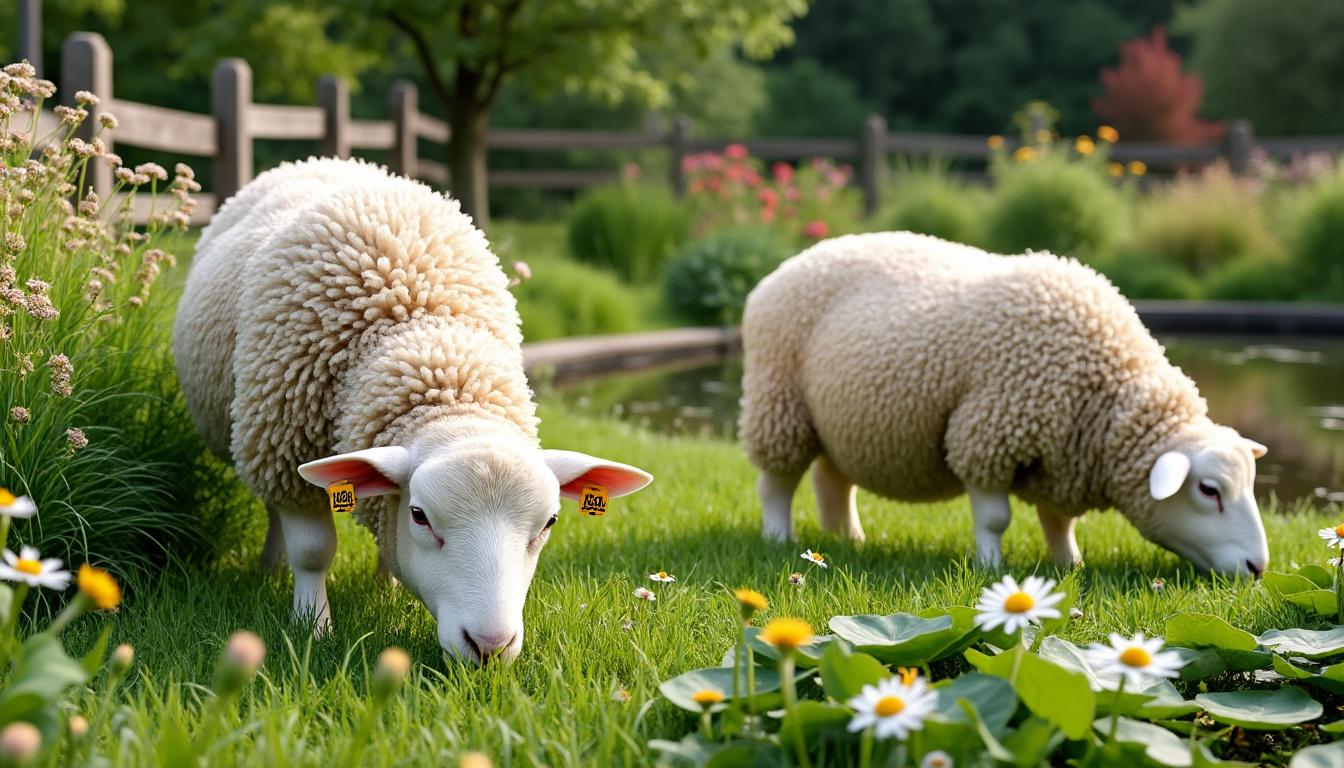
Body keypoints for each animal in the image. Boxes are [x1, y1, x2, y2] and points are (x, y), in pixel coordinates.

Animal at [173, 157, 652, 663]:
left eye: (550, 523)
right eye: (420, 515)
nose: (490, 647)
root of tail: (328, 160)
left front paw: (387, 593)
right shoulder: (284, 452)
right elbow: (313, 551)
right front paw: (313, 626)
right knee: (271, 510)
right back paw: (271, 566)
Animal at [739, 231, 1269, 576]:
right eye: (1209, 490)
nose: (1257, 567)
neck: (1108, 389)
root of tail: (785, 267)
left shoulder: (1062, 458)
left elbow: (1059, 520)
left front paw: (1070, 563)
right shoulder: (986, 435)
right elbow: (995, 518)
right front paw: (991, 567)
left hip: (840, 419)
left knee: (833, 480)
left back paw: (847, 539)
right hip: (779, 402)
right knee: (775, 485)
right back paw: (779, 538)